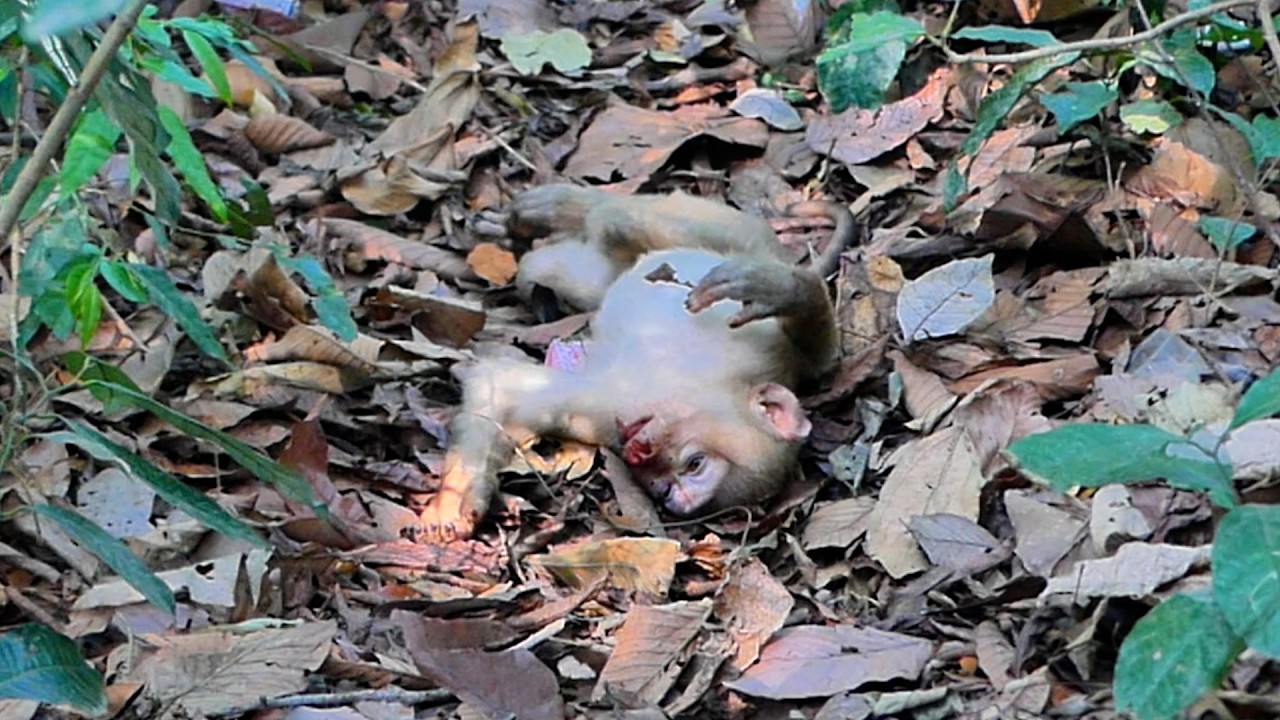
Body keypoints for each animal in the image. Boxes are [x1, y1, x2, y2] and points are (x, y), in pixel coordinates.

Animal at [419, 184, 854, 542]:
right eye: (695, 464)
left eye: (672, 484)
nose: (640, 455)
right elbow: (819, 353)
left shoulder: (608, 418)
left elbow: (501, 388)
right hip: (736, 233)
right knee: (623, 222)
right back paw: (560, 208)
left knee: (574, 267)